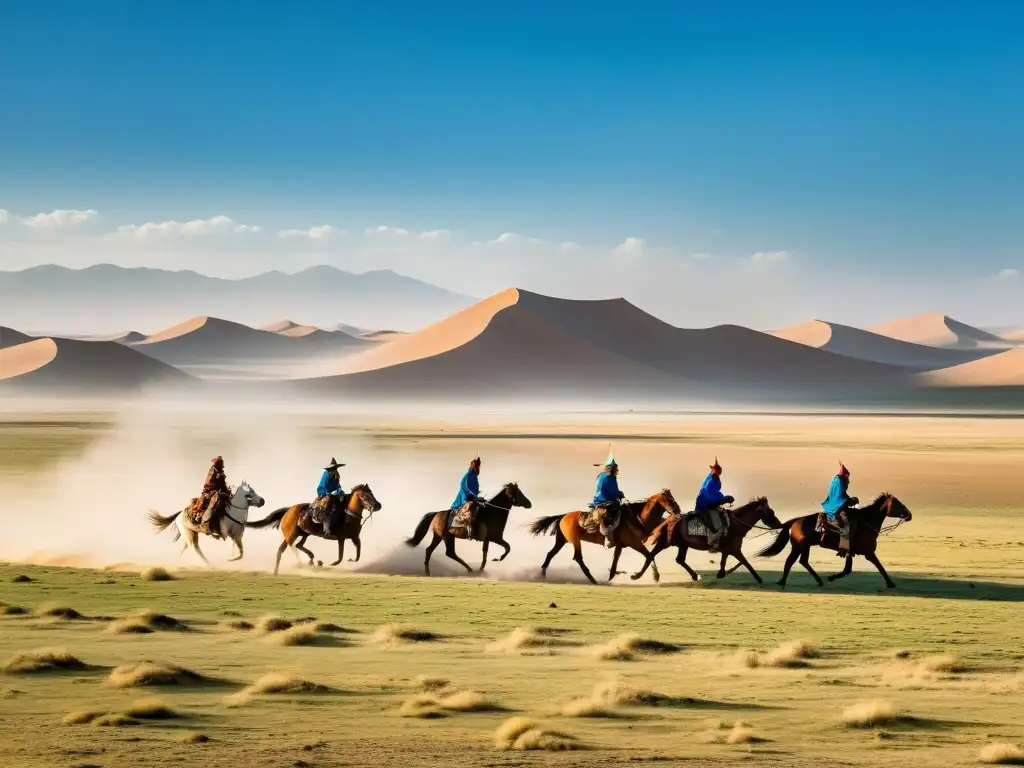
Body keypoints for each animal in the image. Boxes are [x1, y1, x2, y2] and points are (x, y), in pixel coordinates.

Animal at [245, 483, 382, 573]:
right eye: (366, 497)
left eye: (372, 493)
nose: (378, 505)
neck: (348, 515)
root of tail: (287, 511)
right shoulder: (341, 538)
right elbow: (340, 557)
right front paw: (333, 563)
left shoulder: (355, 538)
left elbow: (358, 554)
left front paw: (351, 559)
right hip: (291, 534)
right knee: (285, 548)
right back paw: (281, 569)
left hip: (305, 533)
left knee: (298, 545)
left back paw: (311, 559)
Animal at [528, 489, 679, 585]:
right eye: (669, 499)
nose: (677, 510)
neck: (636, 518)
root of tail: (563, 516)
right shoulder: (634, 543)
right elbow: (649, 556)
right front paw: (641, 576)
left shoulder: (621, 545)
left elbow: (616, 560)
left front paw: (613, 575)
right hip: (575, 541)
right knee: (578, 558)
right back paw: (592, 579)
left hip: (562, 540)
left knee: (550, 554)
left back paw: (542, 576)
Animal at [630, 495, 782, 585]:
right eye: (771, 512)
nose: (779, 524)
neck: (735, 524)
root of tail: (670, 520)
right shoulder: (735, 550)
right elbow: (746, 563)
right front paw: (759, 579)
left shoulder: (728, 549)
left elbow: (724, 560)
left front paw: (721, 573)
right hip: (668, 542)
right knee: (655, 555)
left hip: (680, 544)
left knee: (674, 559)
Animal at [757, 493, 917, 589]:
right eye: (897, 503)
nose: (909, 514)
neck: (866, 522)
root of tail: (795, 521)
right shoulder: (869, 553)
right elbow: (880, 566)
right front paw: (891, 583)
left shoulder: (850, 552)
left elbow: (847, 570)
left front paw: (832, 577)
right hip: (798, 546)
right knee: (790, 562)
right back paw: (782, 582)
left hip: (806, 546)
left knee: (803, 561)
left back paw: (819, 581)